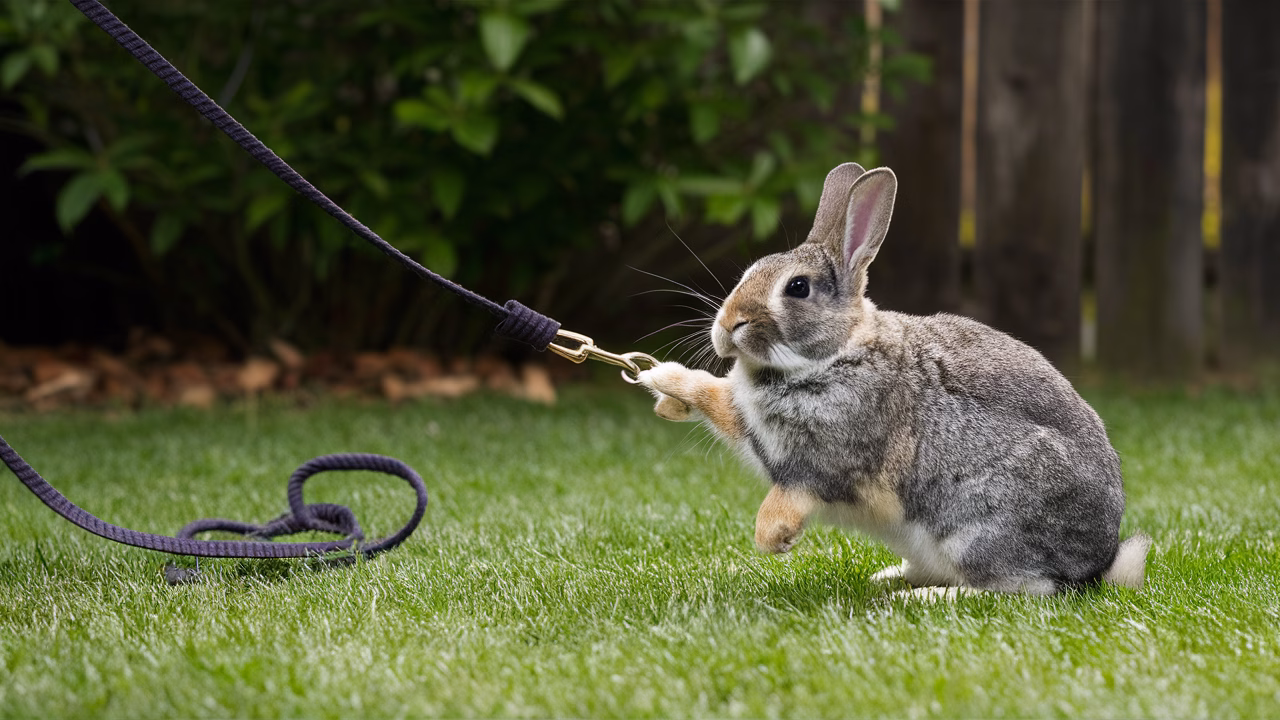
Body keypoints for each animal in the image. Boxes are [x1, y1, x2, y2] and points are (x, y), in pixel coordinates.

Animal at [637, 163, 1150, 596]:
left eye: (797, 287)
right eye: (748, 272)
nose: (729, 326)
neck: (835, 353)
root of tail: (1097, 564)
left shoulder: (829, 461)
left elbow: (794, 492)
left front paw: (773, 537)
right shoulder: (748, 421)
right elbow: (713, 394)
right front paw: (662, 380)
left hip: (978, 529)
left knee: (1019, 588)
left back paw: (921, 597)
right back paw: (891, 578)